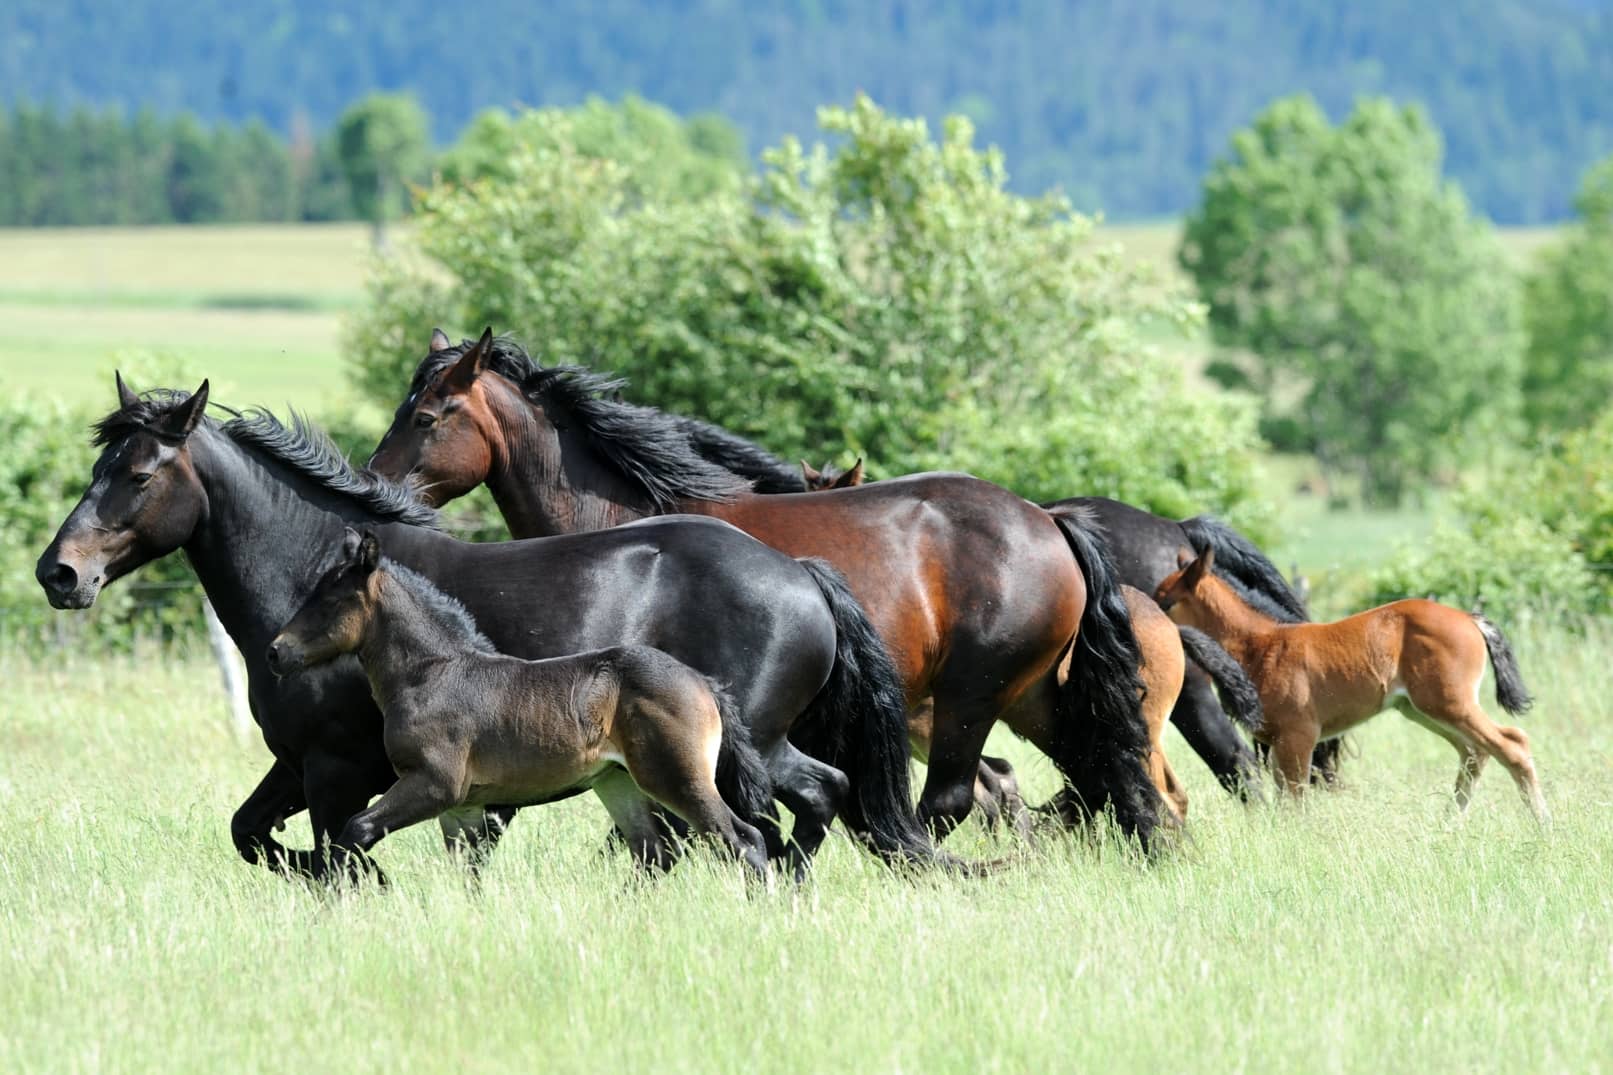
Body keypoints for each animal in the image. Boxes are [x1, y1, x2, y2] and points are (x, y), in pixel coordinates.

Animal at [267, 527, 771, 878]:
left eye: (331, 599)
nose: (275, 651)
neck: (432, 674)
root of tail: (703, 682)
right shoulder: (461, 808)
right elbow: (466, 872)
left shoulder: (432, 785)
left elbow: (353, 832)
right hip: (618, 783)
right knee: (654, 854)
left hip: (677, 778)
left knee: (741, 839)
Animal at [367, 330, 1165, 846]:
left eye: (426, 416)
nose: (375, 482)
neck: (627, 521)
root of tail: (1048, 520)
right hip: (1033, 700)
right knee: (1108, 779)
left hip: (970, 702)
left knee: (953, 801)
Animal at [1155, 548, 1549, 820]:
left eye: (1167, 601)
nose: (1146, 617)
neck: (1260, 644)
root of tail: (1469, 618)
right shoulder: (1278, 743)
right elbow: (1285, 802)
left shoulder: (1299, 736)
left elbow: (1297, 802)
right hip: (1422, 710)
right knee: (1474, 752)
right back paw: (1450, 824)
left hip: (1450, 703)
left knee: (1512, 744)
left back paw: (1543, 824)